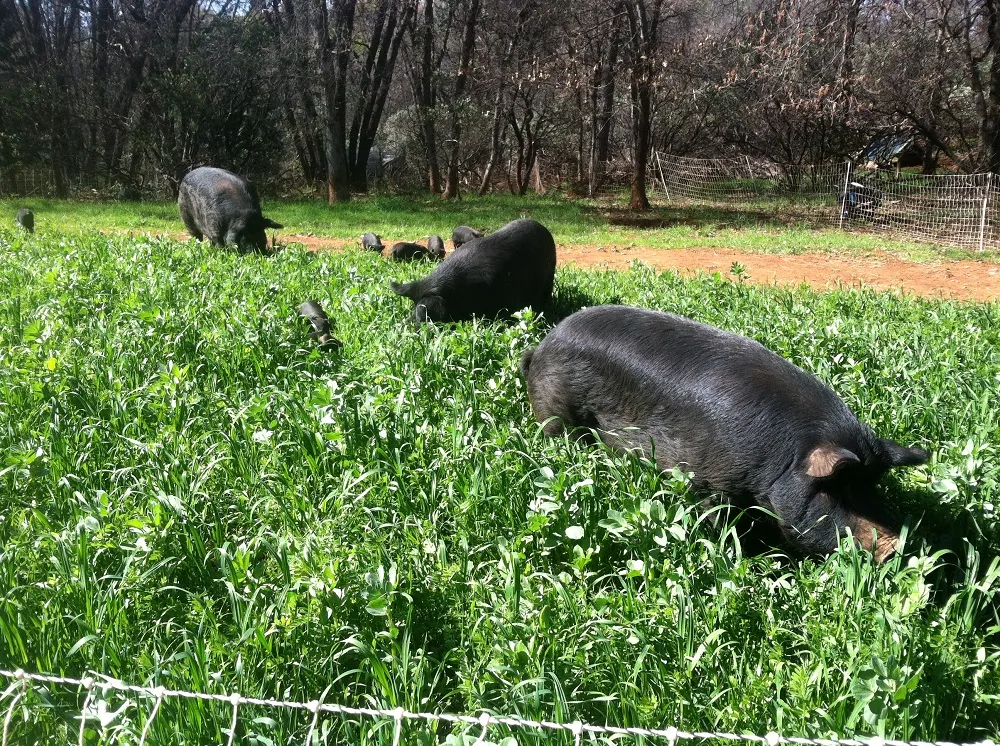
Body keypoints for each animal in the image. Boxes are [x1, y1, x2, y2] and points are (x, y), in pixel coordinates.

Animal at [521, 305, 929, 561]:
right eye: (836, 489)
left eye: (872, 487)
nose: (893, 545)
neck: (783, 460)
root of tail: (542, 344)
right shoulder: (707, 481)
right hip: (555, 410)